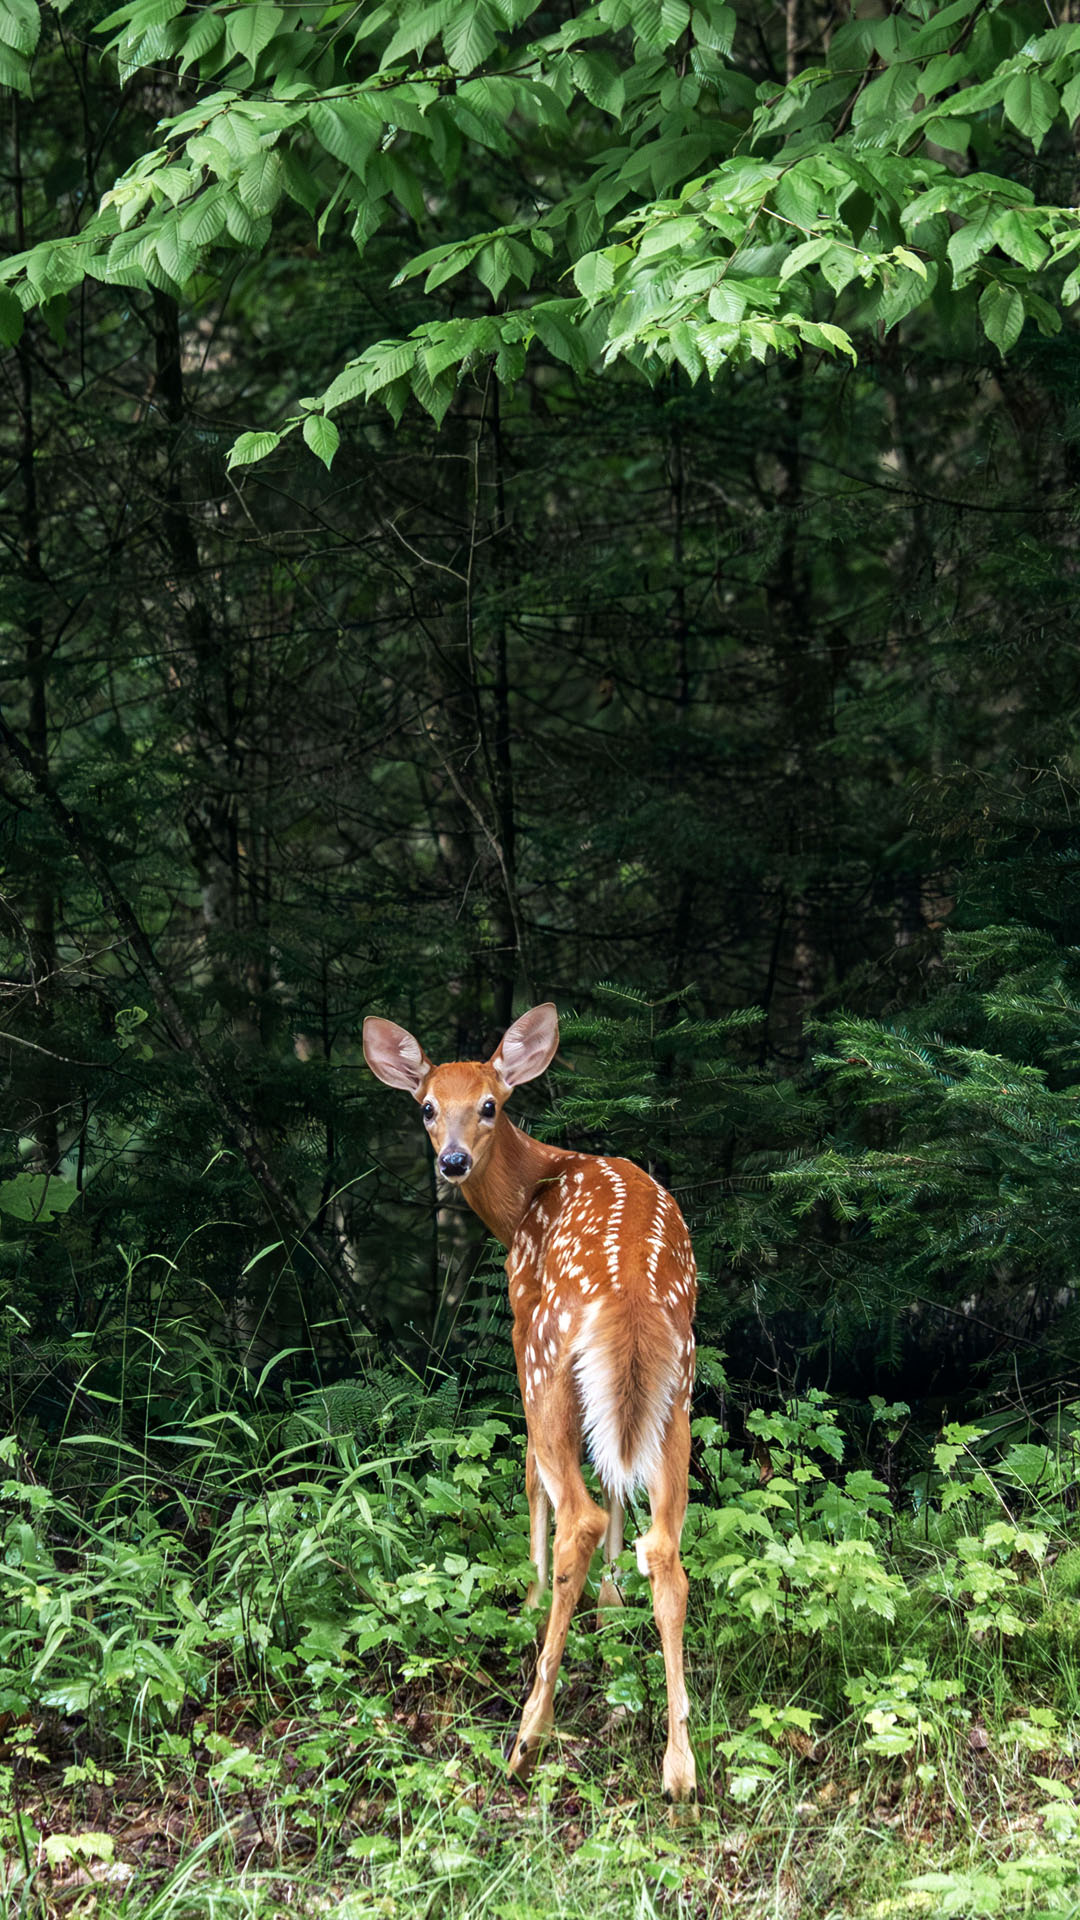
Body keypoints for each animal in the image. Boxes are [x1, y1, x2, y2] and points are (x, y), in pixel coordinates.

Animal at [362, 1001, 698, 1810]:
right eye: (427, 1107)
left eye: (490, 1105)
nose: (452, 1162)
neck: (528, 1193)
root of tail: (632, 1300)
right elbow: (615, 1476)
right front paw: (610, 1605)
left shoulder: (518, 1328)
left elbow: (530, 1478)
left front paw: (532, 1596)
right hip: (678, 1386)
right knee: (664, 1547)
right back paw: (679, 1768)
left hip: (549, 1359)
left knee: (577, 1509)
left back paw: (526, 1738)